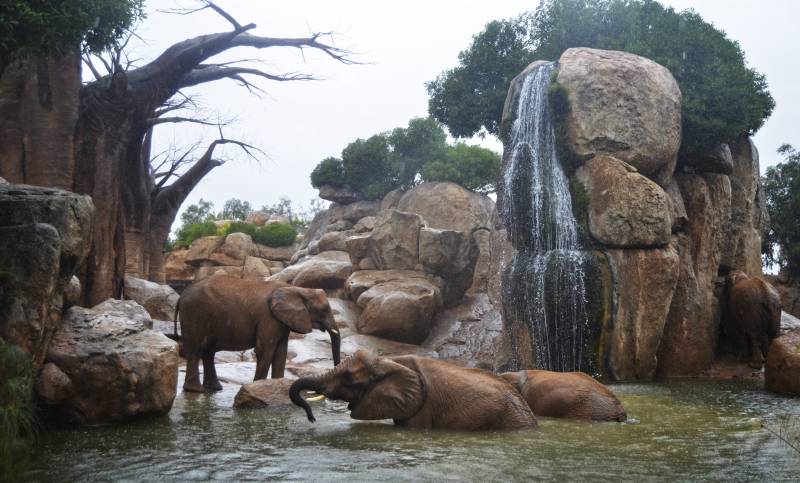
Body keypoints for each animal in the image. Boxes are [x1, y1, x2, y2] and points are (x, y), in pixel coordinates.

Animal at [177, 276, 340, 394]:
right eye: (324, 310)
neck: (298, 289)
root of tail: (182, 294)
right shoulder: (268, 317)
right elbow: (265, 350)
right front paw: (258, 386)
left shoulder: (281, 320)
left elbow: (281, 352)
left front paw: (277, 384)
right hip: (194, 313)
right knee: (196, 350)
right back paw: (196, 390)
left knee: (208, 352)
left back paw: (214, 388)